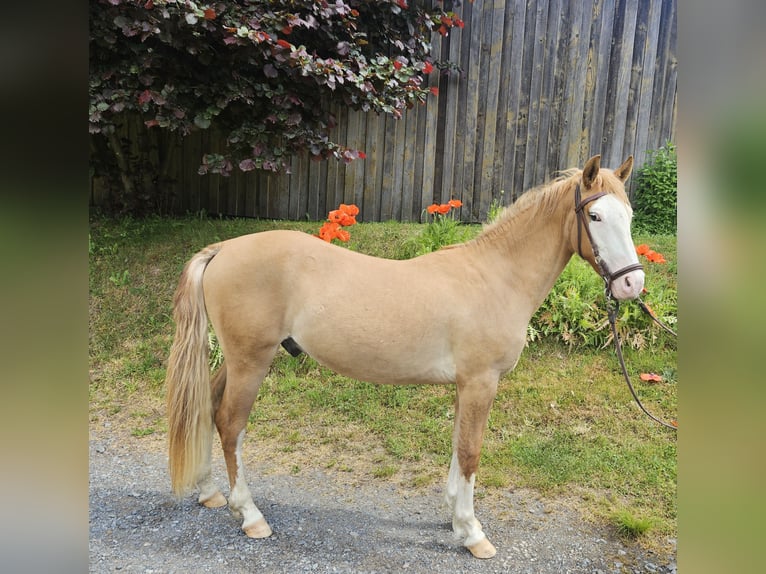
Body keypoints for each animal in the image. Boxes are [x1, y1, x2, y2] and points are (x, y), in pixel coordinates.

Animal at [166, 155, 643, 559]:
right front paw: (473, 534)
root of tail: (225, 248)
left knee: (208, 407)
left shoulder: (465, 386)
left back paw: (210, 493)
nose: (632, 285)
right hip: (251, 362)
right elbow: (471, 451)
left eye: (630, 216)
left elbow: (457, 447)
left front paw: (455, 520)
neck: (493, 277)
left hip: (237, 360)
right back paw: (250, 516)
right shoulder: (480, 382)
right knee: (231, 424)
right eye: (595, 216)